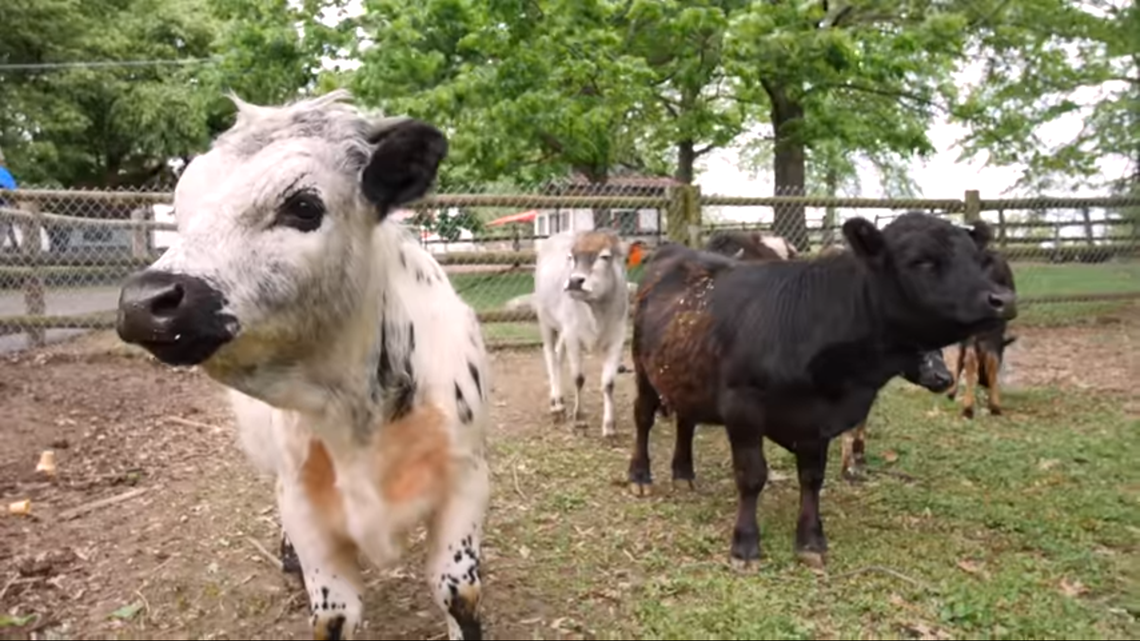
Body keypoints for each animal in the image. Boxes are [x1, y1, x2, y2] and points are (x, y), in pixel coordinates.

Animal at [114, 90, 491, 640]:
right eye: (181, 211)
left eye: (303, 206)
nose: (144, 302)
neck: (358, 412)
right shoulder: (303, 505)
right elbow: (334, 615)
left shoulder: (465, 479)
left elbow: (457, 594)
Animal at [533, 229, 633, 439]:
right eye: (571, 257)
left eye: (605, 256)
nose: (574, 281)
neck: (597, 311)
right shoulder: (573, 336)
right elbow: (579, 377)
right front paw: (579, 419)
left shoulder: (617, 338)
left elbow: (609, 383)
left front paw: (610, 427)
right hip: (544, 320)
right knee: (550, 357)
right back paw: (556, 405)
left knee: (558, 356)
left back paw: (561, 402)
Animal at [946, 246, 1018, 418]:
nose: (984, 382)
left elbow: (961, 359)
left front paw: (952, 392)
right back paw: (993, 405)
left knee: (971, 358)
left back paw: (969, 407)